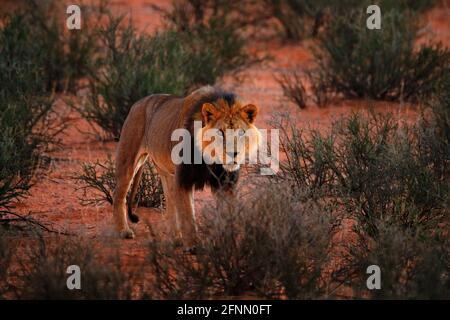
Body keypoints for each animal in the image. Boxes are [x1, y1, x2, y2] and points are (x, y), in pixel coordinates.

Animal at [111, 84, 260, 245]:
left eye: (241, 132)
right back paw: (124, 231)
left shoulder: (225, 183)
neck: (210, 158)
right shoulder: (184, 178)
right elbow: (188, 214)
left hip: (166, 171)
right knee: (118, 196)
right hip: (128, 160)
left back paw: (176, 238)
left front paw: (227, 243)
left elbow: (227, 215)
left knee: (170, 202)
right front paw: (193, 246)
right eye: (220, 132)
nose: (234, 153)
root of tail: (138, 103)